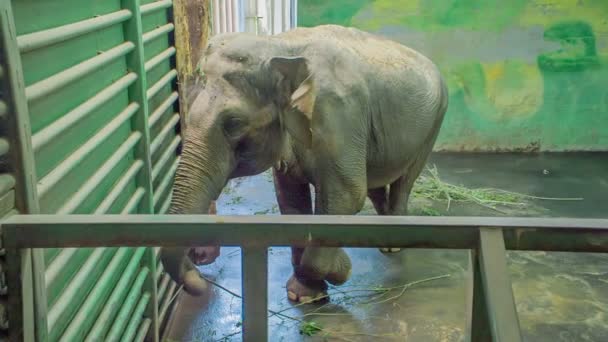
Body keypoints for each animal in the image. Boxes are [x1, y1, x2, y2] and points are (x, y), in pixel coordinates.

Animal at [159, 24, 448, 302]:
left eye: (234, 123)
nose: (199, 277)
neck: (280, 46)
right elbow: (291, 201)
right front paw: (302, 295)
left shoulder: (338, 113)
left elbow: (346, 196)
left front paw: (341, 271)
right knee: (375, 181)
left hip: (436, 119)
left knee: (404, 180)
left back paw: (393, 244)